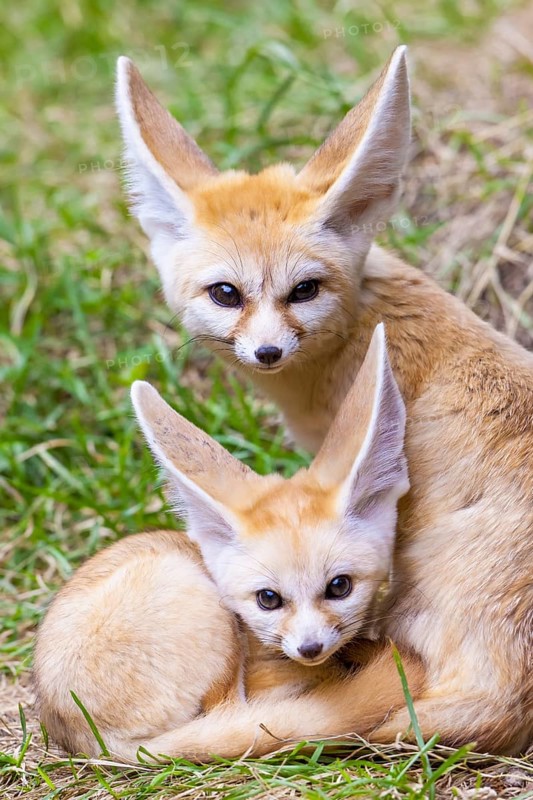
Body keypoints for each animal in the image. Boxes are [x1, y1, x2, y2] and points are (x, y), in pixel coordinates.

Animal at [34, 325, 424, 761]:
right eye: (267, 599)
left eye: (339, 587)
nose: (310, 648)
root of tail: (96, 741)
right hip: (199, 601)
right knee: (236, 714)